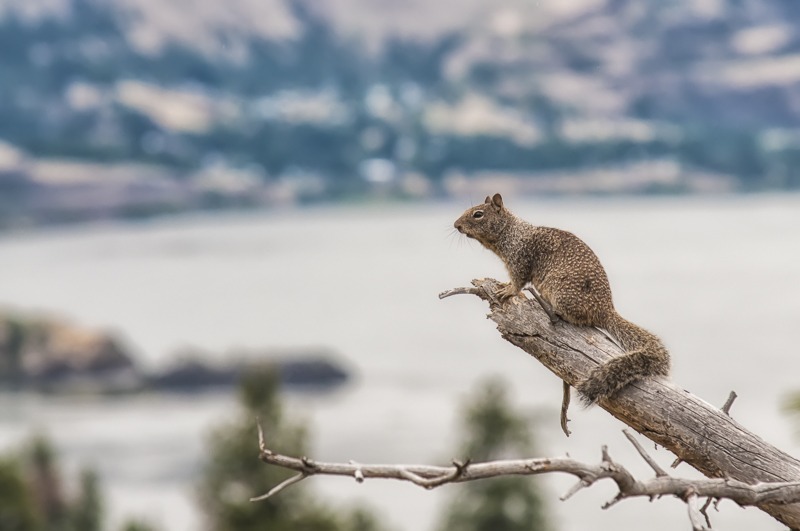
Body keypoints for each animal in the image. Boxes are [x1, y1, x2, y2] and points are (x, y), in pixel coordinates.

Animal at [454, 193, 670, 404]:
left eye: (478, 214)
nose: (456, 225)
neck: (512, 232)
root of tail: (606, 311)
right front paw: (502, 285)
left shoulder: (520, 260)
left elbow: (518, 282)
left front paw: (507, 291)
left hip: (563, 293)